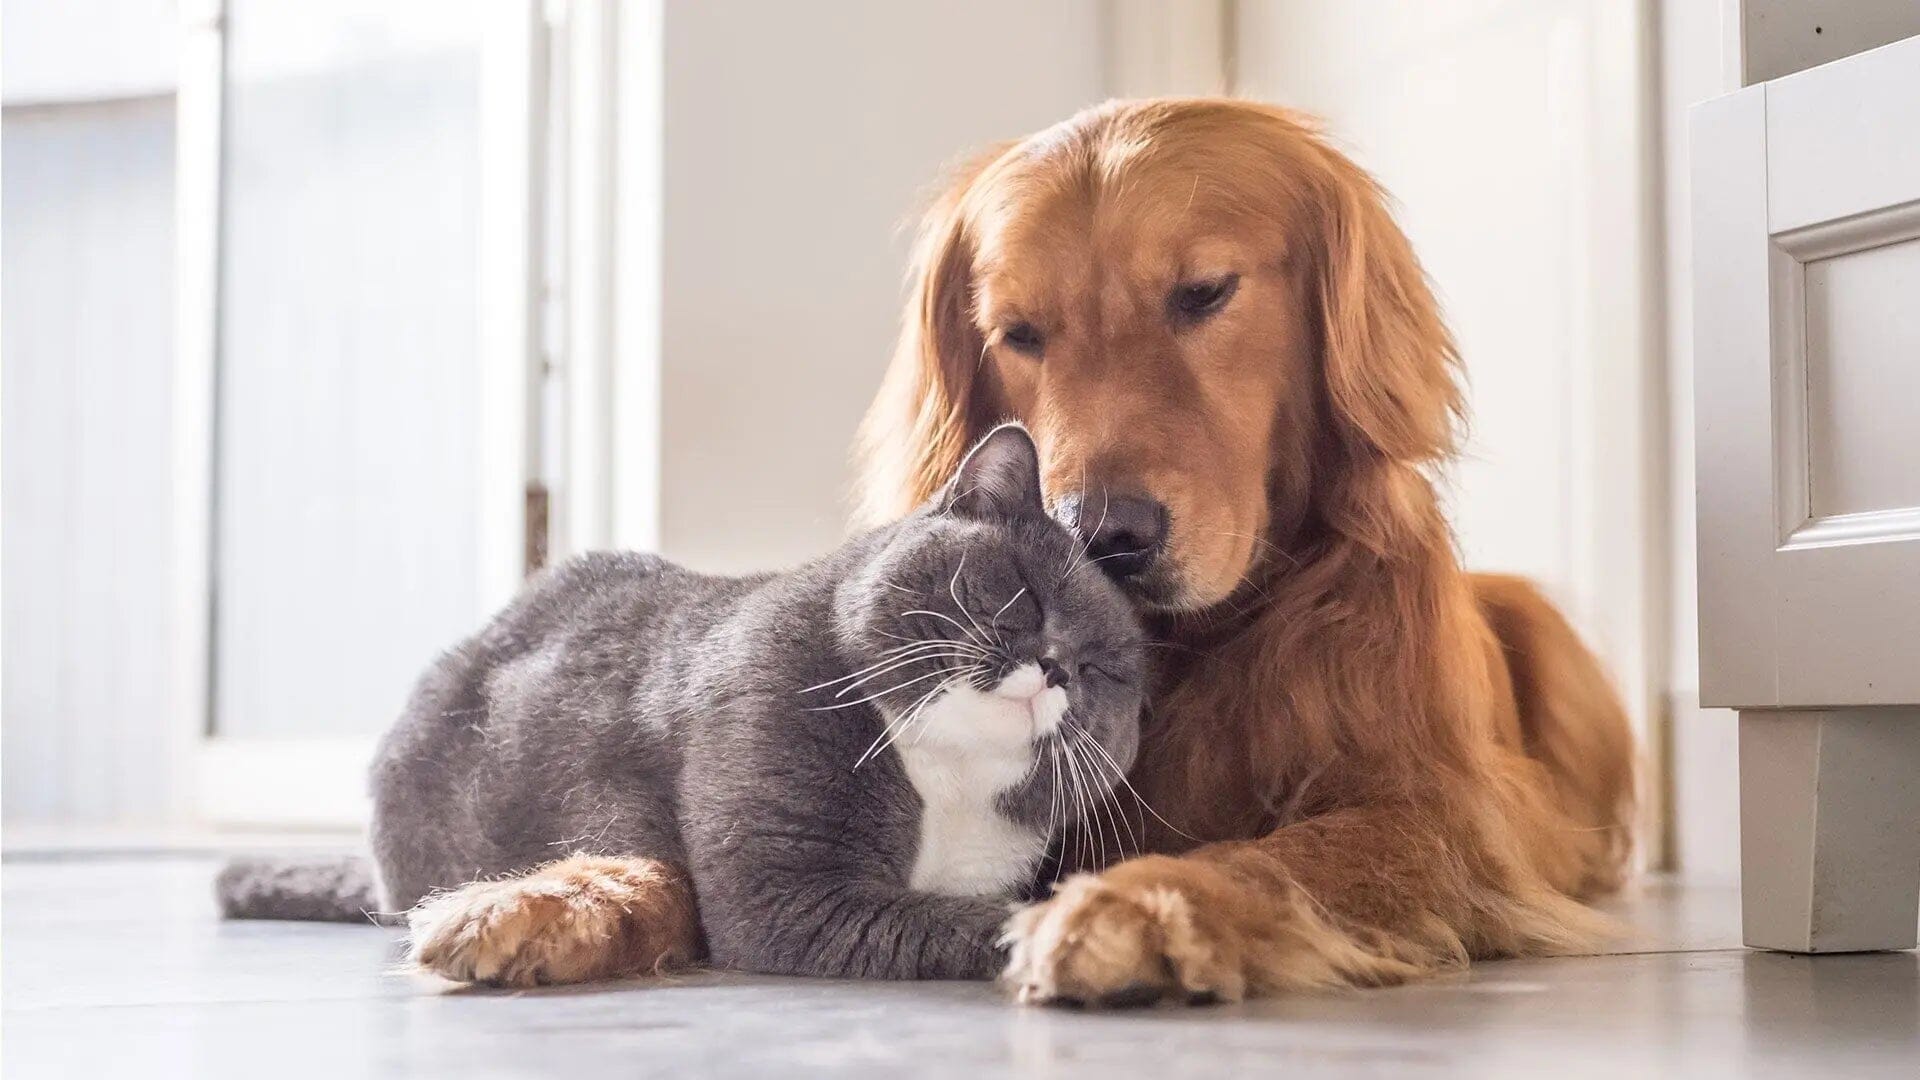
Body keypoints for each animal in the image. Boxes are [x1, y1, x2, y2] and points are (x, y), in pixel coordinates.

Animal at [224, 424, 1152, 980]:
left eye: (1106, 669)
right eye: (1023, 593)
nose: (1056, 667)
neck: (947, 783)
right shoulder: (787, 889)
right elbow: (967, 919)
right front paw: (1068, 931)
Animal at [860, 98, 1635, 999]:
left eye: (1203, 293)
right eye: (1018, 333)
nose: (1102, 535)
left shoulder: (1440, 815)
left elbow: (1278, 857)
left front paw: (1134, 905)